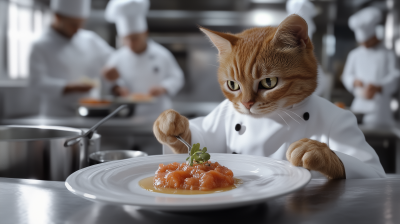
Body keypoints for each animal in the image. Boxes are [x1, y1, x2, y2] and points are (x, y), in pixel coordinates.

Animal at [153, 14, 346, 178]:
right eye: (232, 85)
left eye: (269, 82)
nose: (247, 104)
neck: (270, 120)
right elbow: (201, 139)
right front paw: (170, 124)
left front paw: (317, 150)